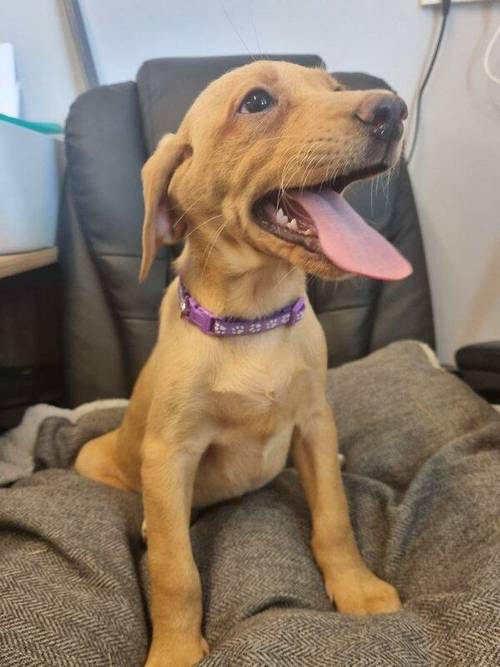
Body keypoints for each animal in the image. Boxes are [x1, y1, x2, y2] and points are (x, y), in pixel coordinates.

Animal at [75, 61, 410, 667]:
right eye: (256, 102)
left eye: (335, 89)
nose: (393, 110)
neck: (255, 323)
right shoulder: (170, 452)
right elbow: (175, 570)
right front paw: (176, 649)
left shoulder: (315, 422)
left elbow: (334, 518)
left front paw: (356, 588)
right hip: (99, 459)